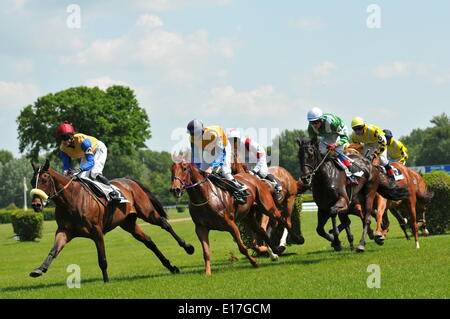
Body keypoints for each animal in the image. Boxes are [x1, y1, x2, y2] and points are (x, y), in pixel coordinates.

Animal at [29, 159, 193, 282]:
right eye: (32, 181)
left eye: (44, 179)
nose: (36, 205)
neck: (71, 200)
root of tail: (129, 181)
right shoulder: (64, 231)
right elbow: (54, 250)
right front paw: (39, 269)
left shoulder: (97, 232)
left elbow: (102, 259)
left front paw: (106, 281)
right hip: (128, 223)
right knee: (148, 241)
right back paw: (171, 267)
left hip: (147, 213)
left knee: (165, 224)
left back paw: (187, 247)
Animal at [171, 159, 304, 276]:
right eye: (171, 170)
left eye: (184, 169)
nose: (175, 189)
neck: (205, 196)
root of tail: (254, 178)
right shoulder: (201, 228)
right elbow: (206, 252)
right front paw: (207, 272)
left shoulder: (231, 224)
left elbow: (242, 247)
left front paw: (254, 262)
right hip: (248, 216)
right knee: (261, 231)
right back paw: (275, 250)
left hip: (269, 207)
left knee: (283, 220)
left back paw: (296, 239)